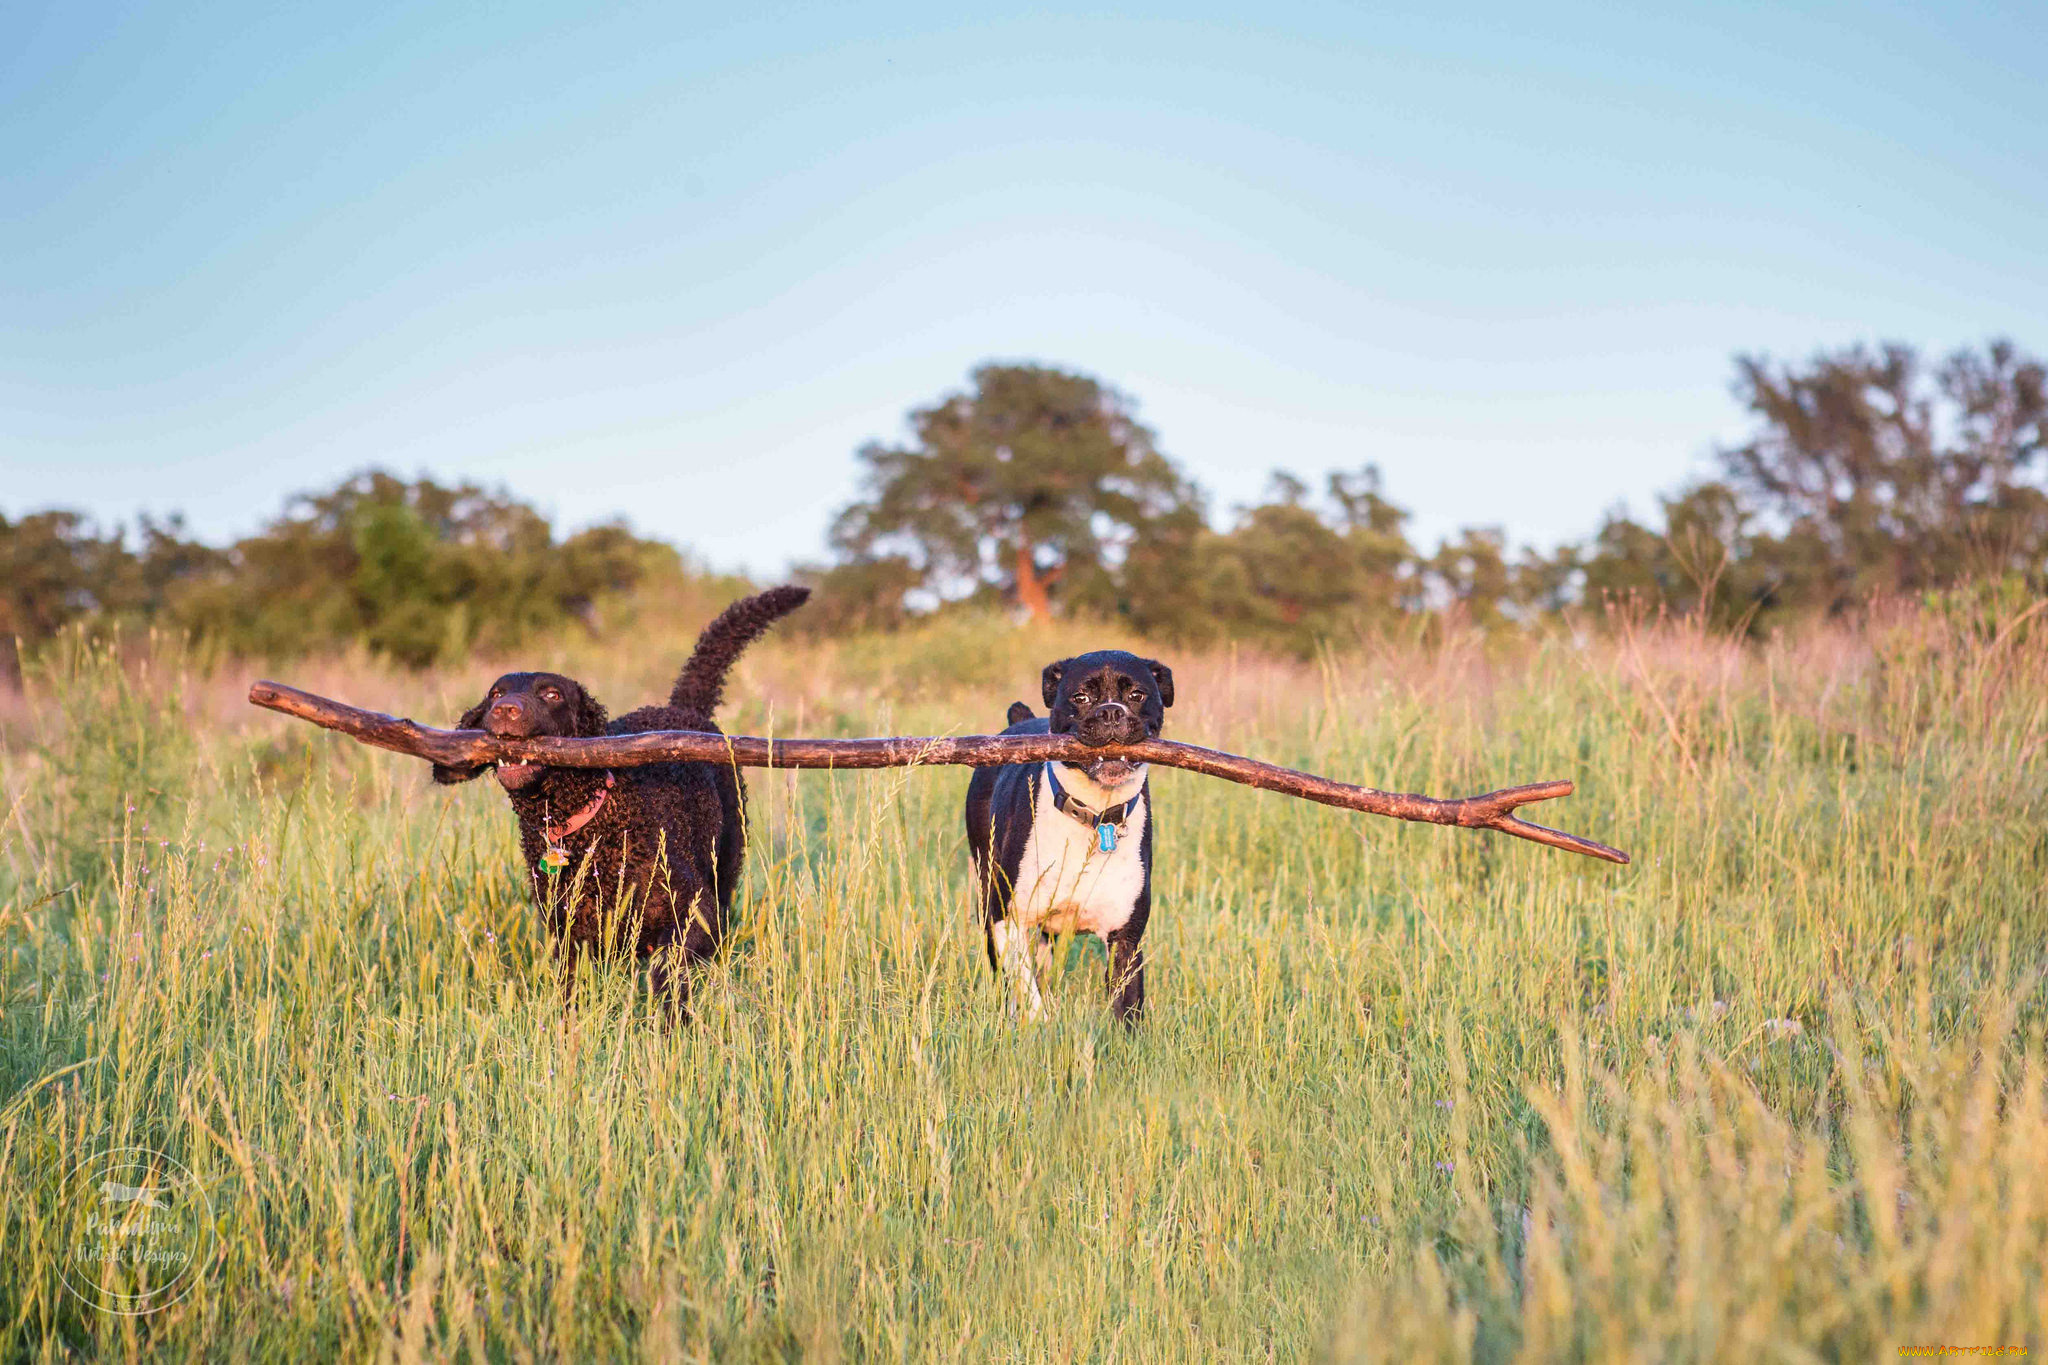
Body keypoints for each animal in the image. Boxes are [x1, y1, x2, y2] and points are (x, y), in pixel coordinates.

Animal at [958, 650, 1171, 1023]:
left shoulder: (1125, 940)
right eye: (1080, 698)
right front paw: (1037, 1023)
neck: (1095, 815)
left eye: (1137, 695)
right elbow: (1027, 993)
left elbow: (1127, 1008)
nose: (1111, 711)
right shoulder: (1006, 920)